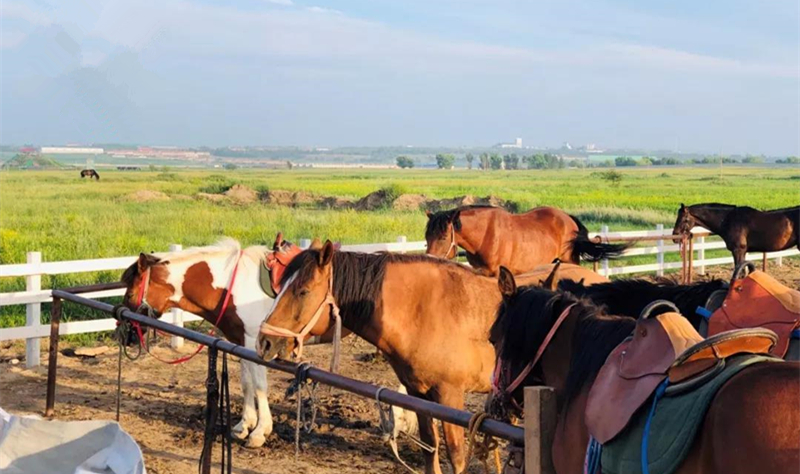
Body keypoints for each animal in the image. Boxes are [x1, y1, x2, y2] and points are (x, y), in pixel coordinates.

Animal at [122, 237, 304, 448]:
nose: (127, 336)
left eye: (130, 295)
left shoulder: (255, 344)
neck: (236, 286)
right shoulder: (242, 343)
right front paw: (244, 426)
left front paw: (260, 431)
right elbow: (247, 383)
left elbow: (260, 385)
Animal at [256, 243, 608, 474]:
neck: (423, 310)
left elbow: (456, 454)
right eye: (280, 286)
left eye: (302, 291)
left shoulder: (450, 396)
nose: (264, 341)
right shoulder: (418, 394)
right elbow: (430, 445)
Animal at [422, 205, 628, 276]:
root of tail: (567, 218)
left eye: (442, 237)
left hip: (568, 260)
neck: (486, 235)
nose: (429, 259)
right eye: (426, 237)